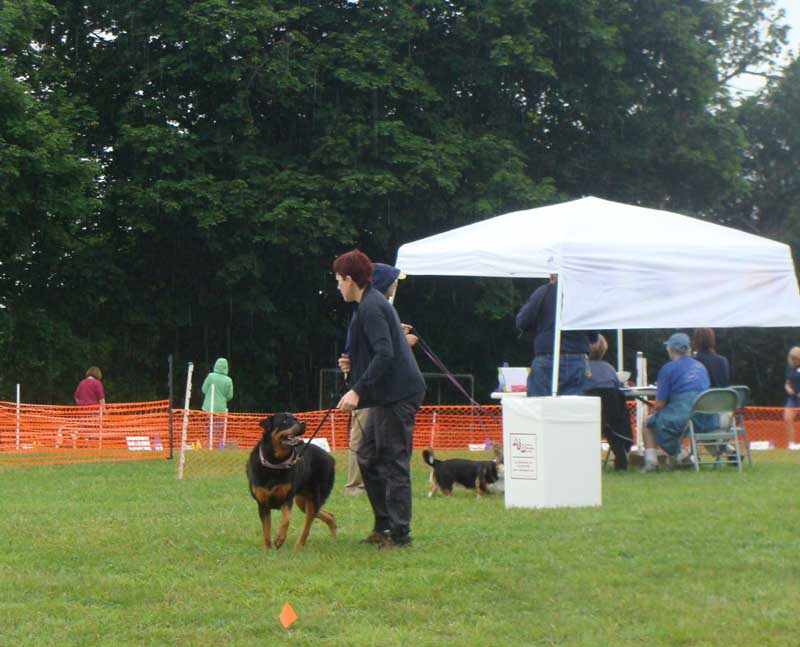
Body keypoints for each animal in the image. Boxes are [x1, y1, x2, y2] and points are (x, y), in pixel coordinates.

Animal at [245, 412, 336, 548]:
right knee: (327, 515)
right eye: (284, 421)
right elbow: (266, 531)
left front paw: (279, 540)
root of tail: (330, 457)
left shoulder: (287, 499)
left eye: (296, 419)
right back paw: (333, 537)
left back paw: (298, 545)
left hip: (314, 497)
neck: (275, 462)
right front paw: (267, 549)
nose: (303, 422)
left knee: (308, 524)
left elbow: (286, 520)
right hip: (302, 500)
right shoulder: (262, 503)